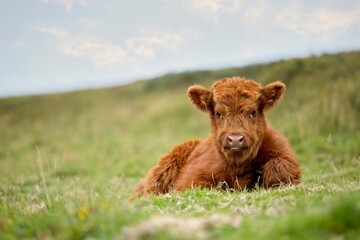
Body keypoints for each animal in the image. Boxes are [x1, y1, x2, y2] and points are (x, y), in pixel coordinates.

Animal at [132, 77, 300, 197]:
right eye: (218, 113)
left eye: (253, 112)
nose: (235, 140)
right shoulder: (190, 179)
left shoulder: (285, 159)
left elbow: (277, 168)